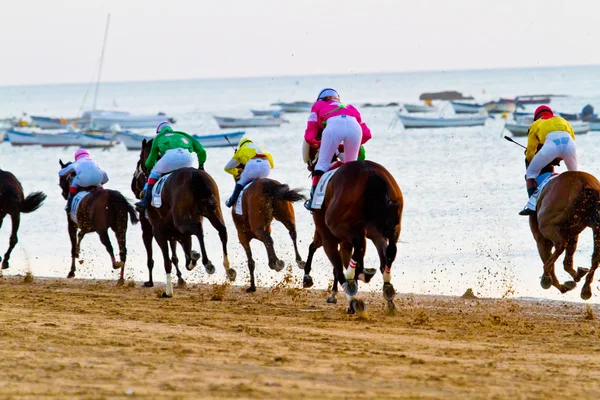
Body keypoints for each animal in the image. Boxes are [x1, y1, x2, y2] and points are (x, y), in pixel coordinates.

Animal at [132, 161, 192, 290]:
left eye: (136, 175)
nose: (133, 187)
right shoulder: (169, 233)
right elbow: (173, 257)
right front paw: (180, 278)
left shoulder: (149, 230)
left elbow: (156, 258)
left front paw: (150, 281)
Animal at [138, 139, 237, 298]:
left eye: (141, 157)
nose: (142, 171)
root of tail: (194, 173)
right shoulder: (178, 233)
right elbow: (185, 253)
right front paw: (193, 258)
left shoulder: (159, 231)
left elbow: (168, 261)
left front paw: (168, 291)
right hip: (213, 211)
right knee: (222, 230)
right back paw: (228, 269)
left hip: (181, 221)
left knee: (198, 229)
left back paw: (207, 263)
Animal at [304, 161, 404, 314]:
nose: (310, 167)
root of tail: (370, 172)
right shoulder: (363, 235)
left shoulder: (327, 236)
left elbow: (334, 265)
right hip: (389, 225)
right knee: (389, 250)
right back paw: (386, 288)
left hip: (340, 226)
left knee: (357, 247)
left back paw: (352, 288)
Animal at [528, 166, 600, 300]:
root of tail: (585, 184)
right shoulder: (574, 233)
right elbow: (567, 262)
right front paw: (577, 275)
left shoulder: (542, 240)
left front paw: (550, 281)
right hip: (596, 227)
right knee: (595, 257)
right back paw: (585, 288)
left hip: (550, 224)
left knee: (560, 246)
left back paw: (546, 278)